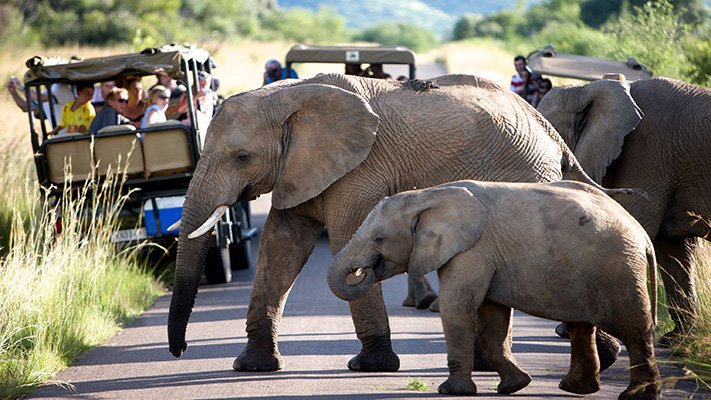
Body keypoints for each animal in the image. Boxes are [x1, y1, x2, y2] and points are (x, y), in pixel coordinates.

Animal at [168, 73, 624, 374]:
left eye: (242, 157)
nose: (180, 351)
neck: (289, 96)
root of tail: (549, 130)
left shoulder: (359, 169)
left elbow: (342, 237)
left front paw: (370, 366)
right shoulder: (295, 170)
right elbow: (280, 248)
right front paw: (251, 367)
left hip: (524, 174)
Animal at [328, 181, 660, 400]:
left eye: (379, 240)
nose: (366, 269)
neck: (427, 195)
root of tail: (642, 234)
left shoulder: (472, 250)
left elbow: (457, 308)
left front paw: (452, 392)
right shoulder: (483, 255)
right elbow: (491, 318)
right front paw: (514, 386)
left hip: (619, 269)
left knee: (633, 329)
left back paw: (635, 396)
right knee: (582, 327)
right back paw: (575, 389)